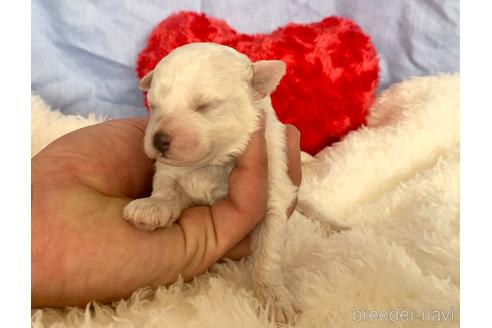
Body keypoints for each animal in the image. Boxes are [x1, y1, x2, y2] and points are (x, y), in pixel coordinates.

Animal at [123, 42, 300, 322]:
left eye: (205, 105)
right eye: (153, 106)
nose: (158, 140)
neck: (212, 163)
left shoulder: (274, 189)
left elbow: (268, 251)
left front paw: (274, 300)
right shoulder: (171, 173)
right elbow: (166, 188)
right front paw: (151, 208)